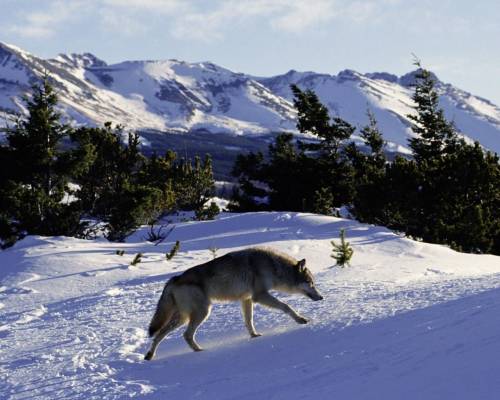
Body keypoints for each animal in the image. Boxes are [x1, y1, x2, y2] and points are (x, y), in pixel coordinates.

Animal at [145, 247, 324, 360]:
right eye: (311, 283)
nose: (321, 297)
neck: (273, 267)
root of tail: (174, 279)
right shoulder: (260, 296)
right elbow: (286, 306)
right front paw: (300, 319)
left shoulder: (247, 299)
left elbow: (249, 321)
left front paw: (254, 336)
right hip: (202, 313)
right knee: (185, 335)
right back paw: (200, 351)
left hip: (183, 317)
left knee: (159, 334)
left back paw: (150, 356)